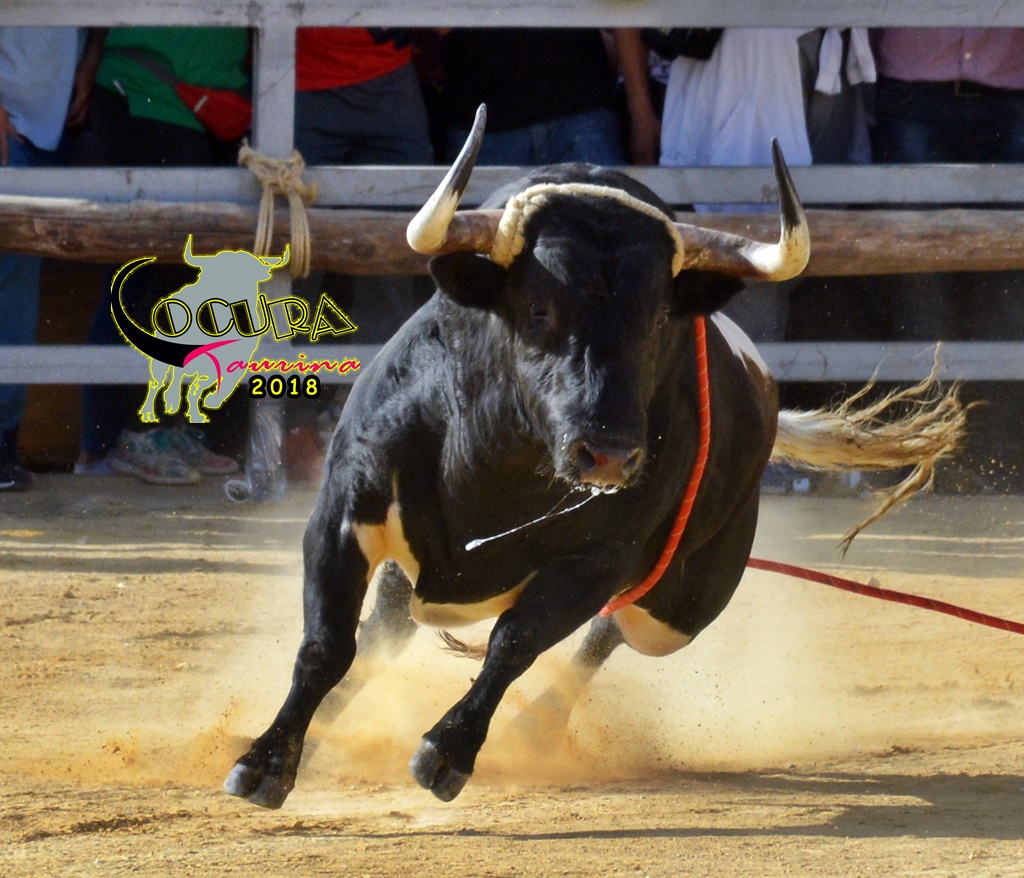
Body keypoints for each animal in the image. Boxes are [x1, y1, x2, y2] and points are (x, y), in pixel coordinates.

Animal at [224, 106, 963, 808]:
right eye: (538, 305)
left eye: (659, 318)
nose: (607, 454)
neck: (496, 472)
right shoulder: (344, 511)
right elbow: (327, 644)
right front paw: (264, 762)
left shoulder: (597, 561)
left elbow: (516, 642)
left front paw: (446, 752)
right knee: (385, 632)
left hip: (681, 605)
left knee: (606, 634)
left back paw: (536, 728)